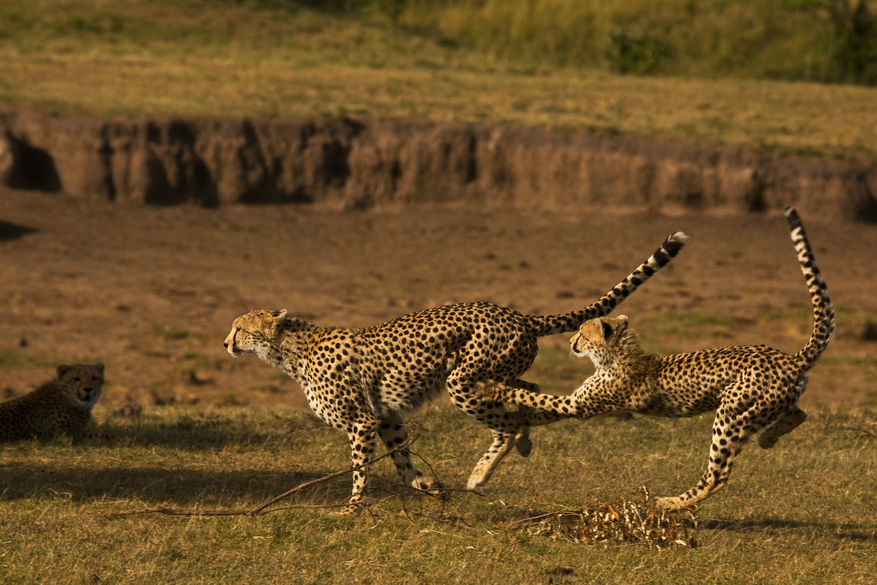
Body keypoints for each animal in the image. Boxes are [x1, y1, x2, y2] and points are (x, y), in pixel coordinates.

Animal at [222, 233, 688, 512]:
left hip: (461, 381)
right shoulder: (385, 418)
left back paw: (483, 472)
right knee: (527, 394)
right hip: (495, 373)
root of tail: (516, 314)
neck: (290, 349)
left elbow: (360, 469)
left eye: (240, 327)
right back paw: (521, 443)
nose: (226, 343)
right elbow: (401, 461)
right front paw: (427, 485)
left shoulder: (361, 421)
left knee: (507, 422)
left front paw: (353, 508)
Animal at [476, 208, 832, 508]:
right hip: (762, 408)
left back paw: (671, 503)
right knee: (798, 414)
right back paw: (768, 438)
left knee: (717, 475)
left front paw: (491, 388)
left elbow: (532, 397)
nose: (571, 340)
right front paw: (516, 435)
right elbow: (537, 410)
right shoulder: (581, 404)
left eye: (583, 333)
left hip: (730, 414)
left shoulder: (579, 405)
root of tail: (788, 358)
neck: (615, 356)